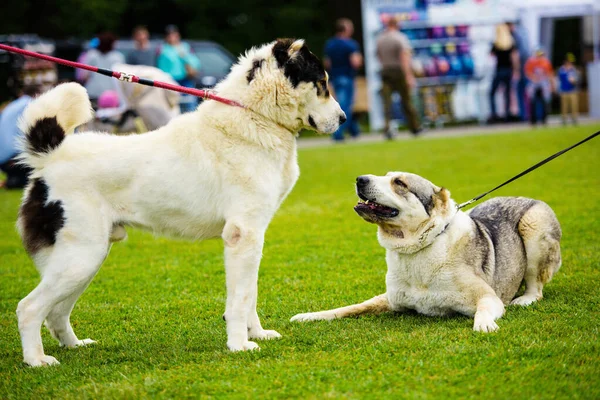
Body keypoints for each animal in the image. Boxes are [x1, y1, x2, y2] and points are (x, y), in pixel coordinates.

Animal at [16, 39, 344, 368]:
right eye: (322, 83)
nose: (342, 118)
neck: (255, 116)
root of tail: (51, 156)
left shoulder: (252, 238)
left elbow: (249, 293)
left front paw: (258, 334)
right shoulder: (243, 235)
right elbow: (240, 299)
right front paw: (240, 345)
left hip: (85, 259)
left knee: (56, 311)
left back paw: (75, 345)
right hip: (81, 256)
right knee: (29, 307)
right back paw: (37, 360)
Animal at [292, 172, 564, 332]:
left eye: (399, 183)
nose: (360, 179)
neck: (417, 247)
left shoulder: (488, 297)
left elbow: (485, 309)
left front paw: (484, 325)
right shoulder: (390, 299)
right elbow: (350, 308)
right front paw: (309, 316)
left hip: (534, 224)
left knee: (536, 286)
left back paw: (525, 298)